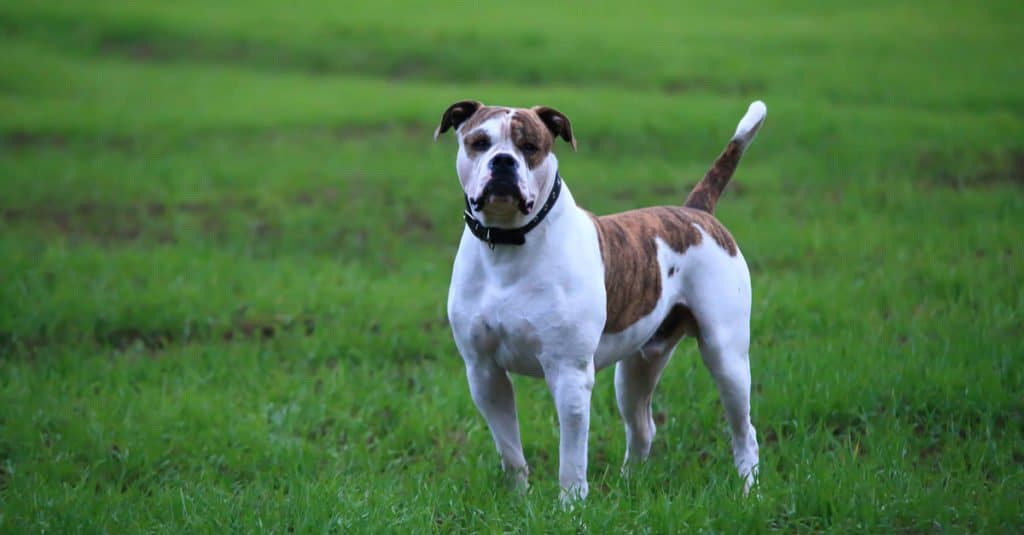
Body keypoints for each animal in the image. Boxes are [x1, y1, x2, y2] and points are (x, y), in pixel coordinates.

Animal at [436, 98, 765, 500]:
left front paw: (571, 506)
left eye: (530, 146)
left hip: (726, 355)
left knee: (744, 430)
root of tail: (697, 212)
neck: (509, 244)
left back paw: (749, 491)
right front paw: (518, 499)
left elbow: (571, 459)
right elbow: (510, 450)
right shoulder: (484, 373)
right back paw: (629, 486)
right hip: (637, 367)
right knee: (643, 427)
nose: (503, 162)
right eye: (479, 142)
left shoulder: (569, 374)